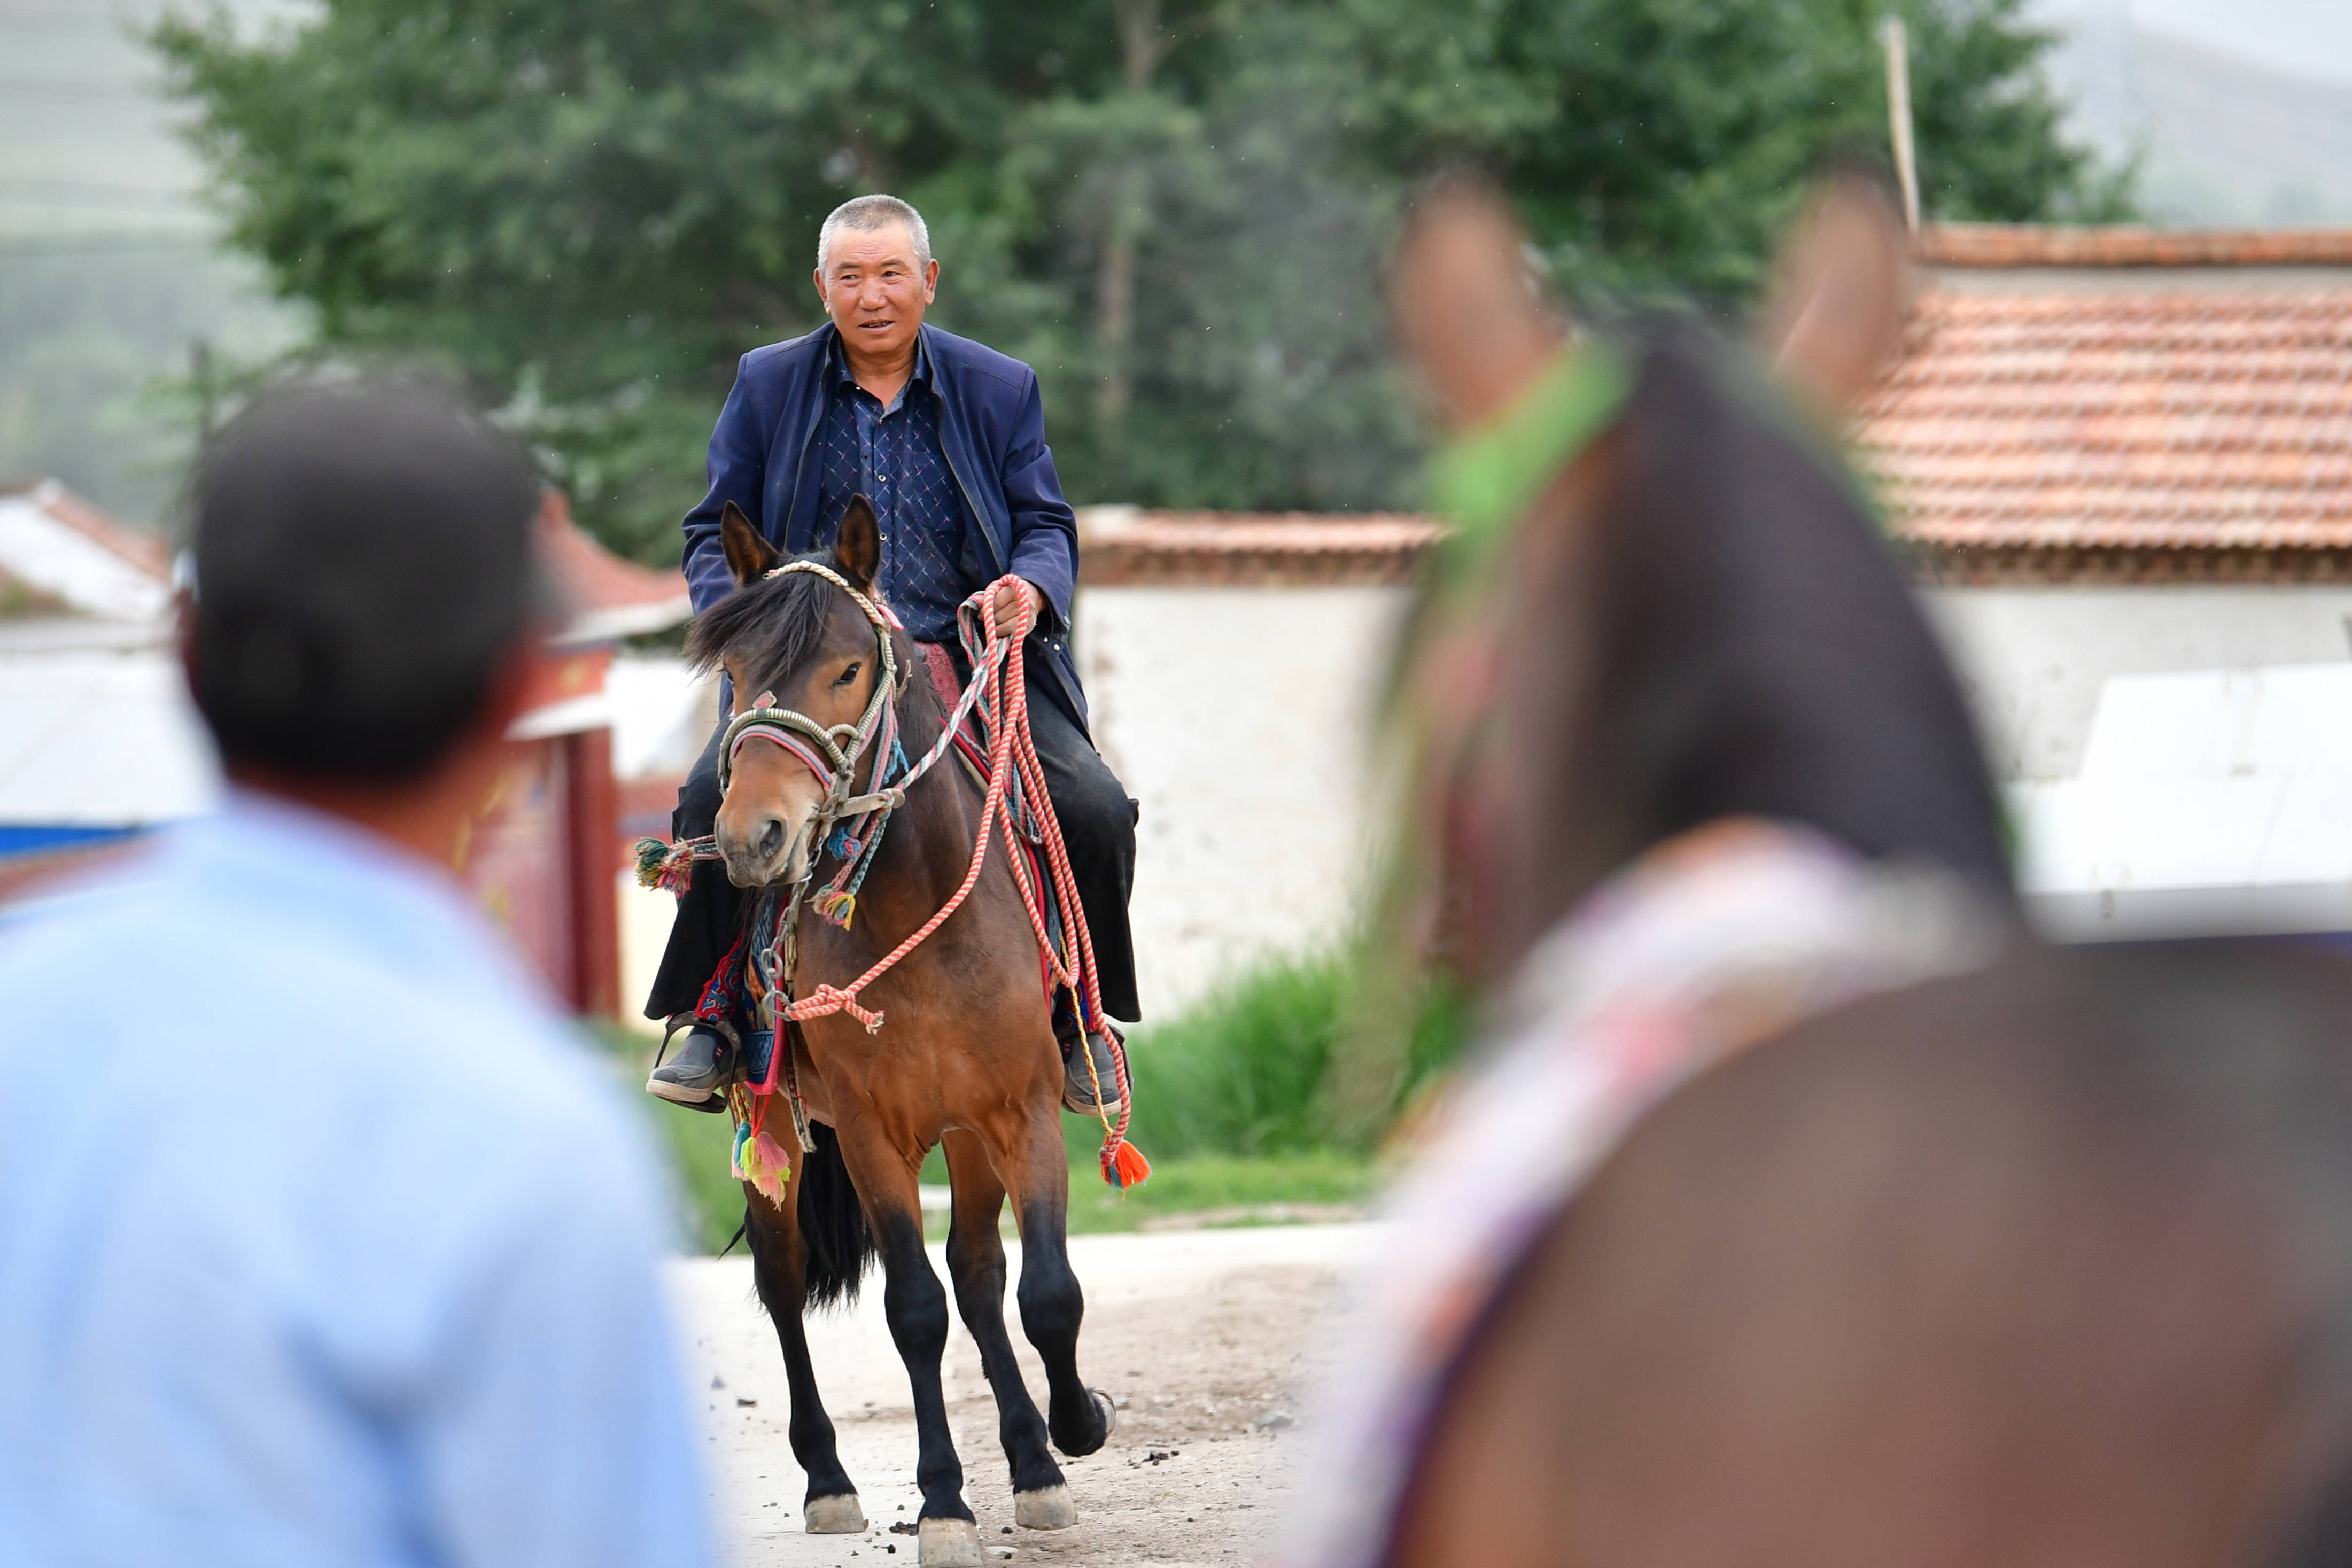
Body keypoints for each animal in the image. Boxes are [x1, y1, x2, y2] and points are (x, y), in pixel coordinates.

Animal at [687, 493, 1115, 1568]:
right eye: (734, 671)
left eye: (846, 667)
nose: (755, 836)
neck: (917, 904)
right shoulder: (875, 1136)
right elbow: (913, 1309)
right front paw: (945, 1502)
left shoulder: (1018, 1113)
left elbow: (1044, 1290)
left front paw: (1072, 1430)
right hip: (777, 1132)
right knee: (785, 1282)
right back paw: (830, 1480)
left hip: (963, 1135)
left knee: (981, 1273)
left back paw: (1032, 1456)